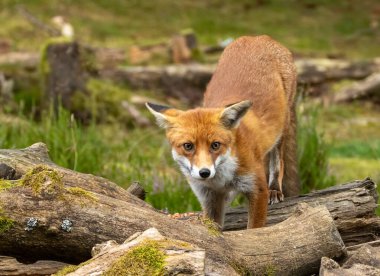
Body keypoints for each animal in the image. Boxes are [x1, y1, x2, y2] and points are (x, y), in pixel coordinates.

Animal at [147, 35, 298, 229]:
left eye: (215, 145)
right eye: (188, 146)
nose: (204, 173)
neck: (221, 179)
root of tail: (258, 37)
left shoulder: (257, 189)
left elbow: (253, 229)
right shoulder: (209, 197)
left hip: (283, 125)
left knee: (278, 159)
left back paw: (275, 188)